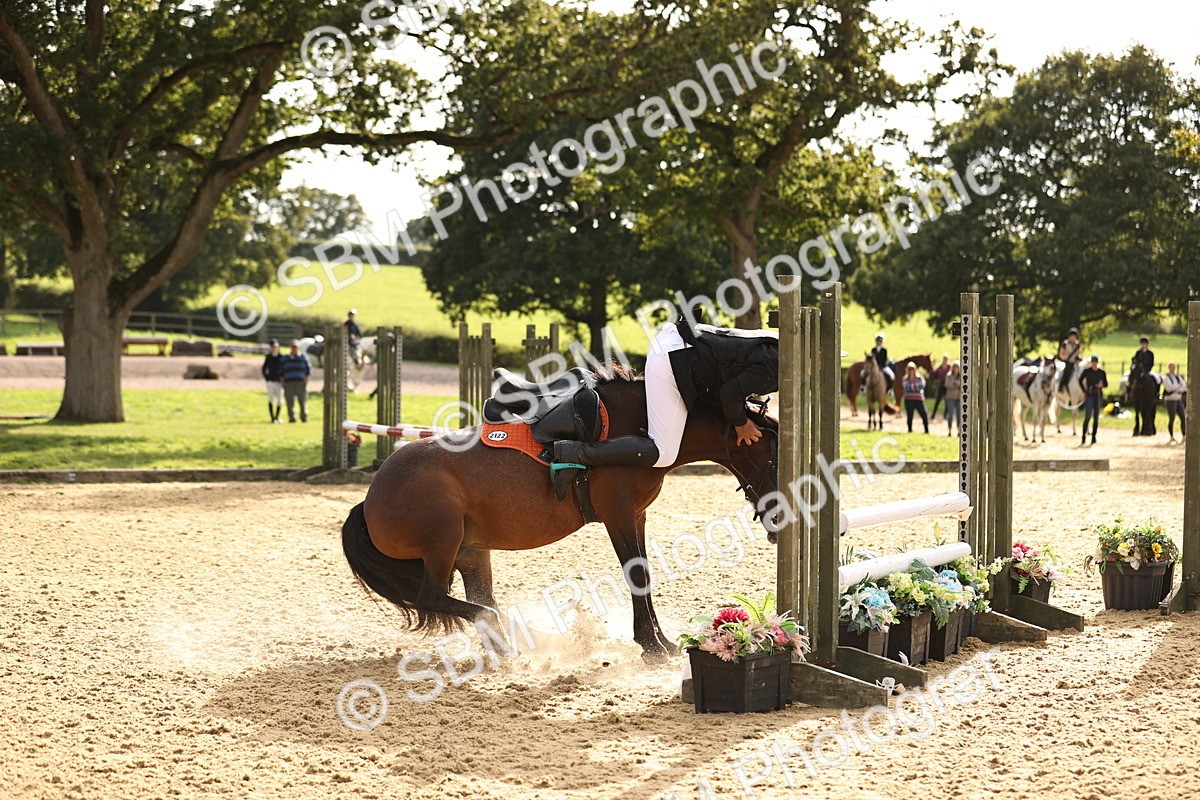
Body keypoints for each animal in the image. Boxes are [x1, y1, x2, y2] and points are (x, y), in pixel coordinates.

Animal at [340, 365, 780, 659]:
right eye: (776, 457)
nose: (779, 523)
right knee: (435, 597)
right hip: (443, 545)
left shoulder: (636, 516)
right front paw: (651, 647)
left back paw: (509, 646)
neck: (639, 425)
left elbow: (645, 575)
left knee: (477, 597)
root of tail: (370, 497)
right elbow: (636, 576)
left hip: (471, 552)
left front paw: (662, 642)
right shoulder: (619, 514)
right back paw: (510, 634)